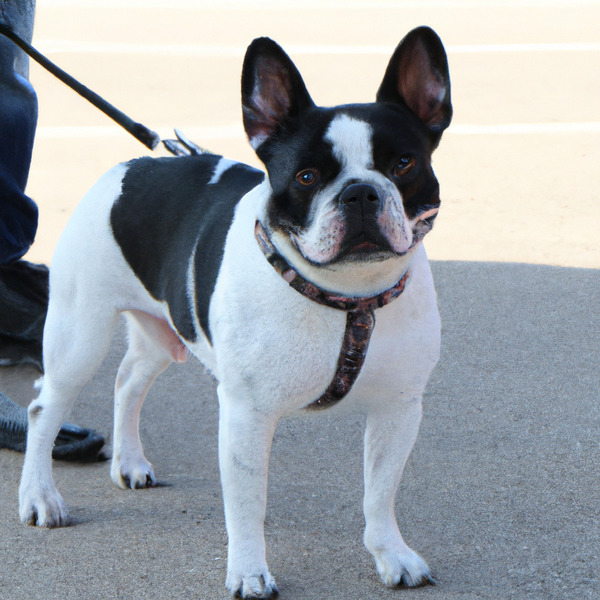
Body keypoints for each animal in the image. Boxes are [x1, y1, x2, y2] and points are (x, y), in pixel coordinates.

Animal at [17, 28, 450, 600]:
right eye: (306, 176)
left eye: (404, 165)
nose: (360, 192)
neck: (345, 295)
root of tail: (132, 166)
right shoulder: (247, 413)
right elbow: (247, 504)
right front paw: (248, 572)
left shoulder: (398, 408)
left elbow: (380, 491)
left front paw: (391, 555)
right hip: (77, 334)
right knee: (44, 408)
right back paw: (39, 498)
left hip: (163, 331)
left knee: (128, 380)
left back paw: (129, 463)